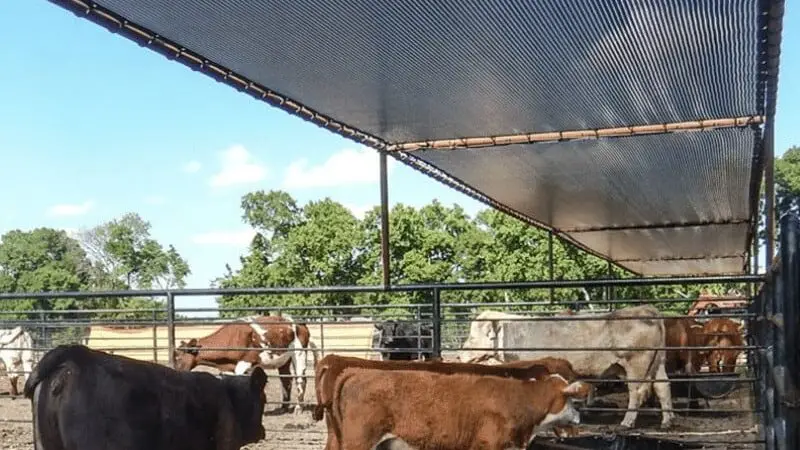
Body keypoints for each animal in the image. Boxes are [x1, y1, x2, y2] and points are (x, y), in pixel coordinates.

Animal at [456, 304, 676, 428]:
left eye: (472, 338)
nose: (458, 355)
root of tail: (646, 309)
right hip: (658, 362)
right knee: (663, 386)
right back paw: (667, 421)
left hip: (636, 363)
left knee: (636, 392)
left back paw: (627, 423)